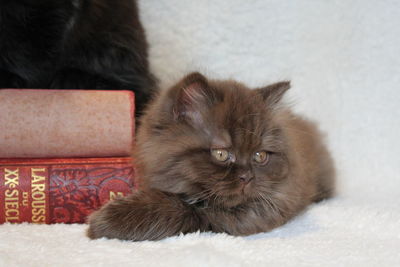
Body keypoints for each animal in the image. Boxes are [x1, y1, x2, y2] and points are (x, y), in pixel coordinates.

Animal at [86, 72, 334, 242]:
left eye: (260, 156)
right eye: (221, 153)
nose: (247, 177)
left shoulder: (265, 209)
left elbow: (186, 211)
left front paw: (107, 222)